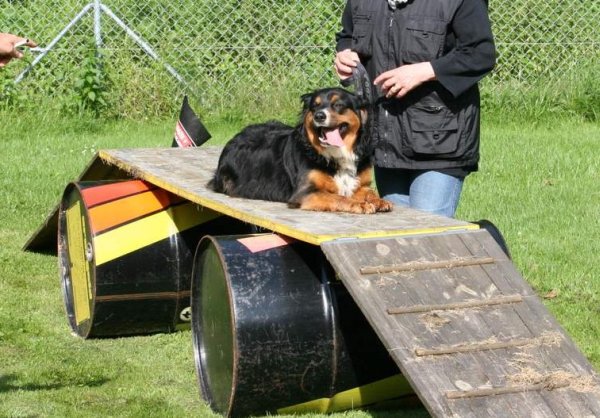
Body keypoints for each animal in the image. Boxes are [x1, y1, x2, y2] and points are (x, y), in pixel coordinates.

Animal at [207, 86, 394, 214]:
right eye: (315, 106)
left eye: (338, 104)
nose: (319, 116)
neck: (335, 154)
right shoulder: (304, 193)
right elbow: (336, 196)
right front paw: (359, 204)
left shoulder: (360, 184)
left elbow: (369, 191)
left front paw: (378, 201)